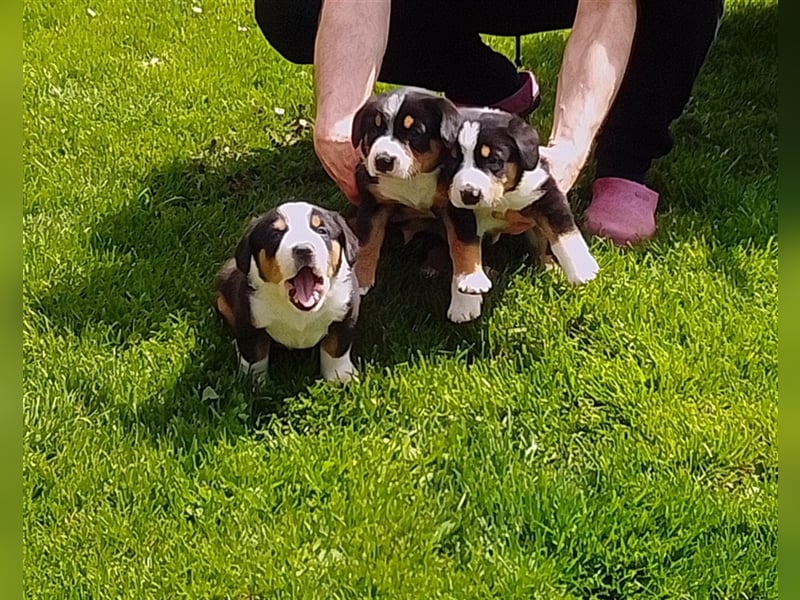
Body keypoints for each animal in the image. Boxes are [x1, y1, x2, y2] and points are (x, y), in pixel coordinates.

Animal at [216, 199, 360, 382]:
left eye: (322, 231)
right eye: (276, 235)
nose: (304, 249)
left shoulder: (346, 311)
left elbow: (336, 348)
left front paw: (340, 377)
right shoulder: (248, 316)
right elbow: (255, 355)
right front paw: (252, 381)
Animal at [346, 86, 460, 296]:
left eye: (414, 132)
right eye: (374, 128)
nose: (383, 160)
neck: (411, 178)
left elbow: (457, 241)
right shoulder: (373, 203)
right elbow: (367, 242)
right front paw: (361, 280)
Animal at [444, 108, 600, 324]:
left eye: (493, 160)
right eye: (452, 159)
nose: (469, 194)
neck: (502, 198)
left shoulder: (545, 191)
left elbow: (563, 230)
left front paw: (582, 268)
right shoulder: (457, 210)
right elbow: (463, 248)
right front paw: (466, 295)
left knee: (540, 246)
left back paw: (551, 267)